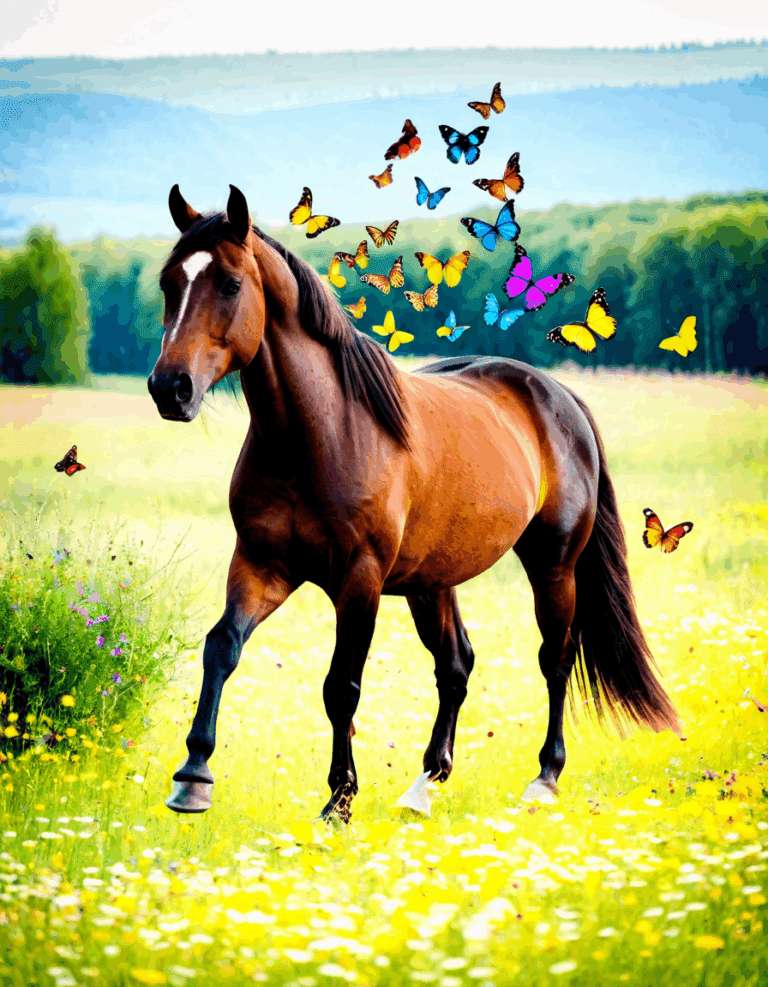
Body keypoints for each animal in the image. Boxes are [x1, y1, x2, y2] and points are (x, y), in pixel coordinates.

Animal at [149, 184, 680, 822]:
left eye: (230, 285)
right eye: (168, 283)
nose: (169, 389)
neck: (319, 435)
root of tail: (558, 397)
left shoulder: (360, 580)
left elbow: (341, 687)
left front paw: (339, 801)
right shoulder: (261, 565)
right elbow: (221, 647)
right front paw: (193, 776)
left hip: (552, 565)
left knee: (555, 657)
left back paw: (544, 779)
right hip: (432, 582)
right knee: (456, 666)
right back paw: (424, 786)